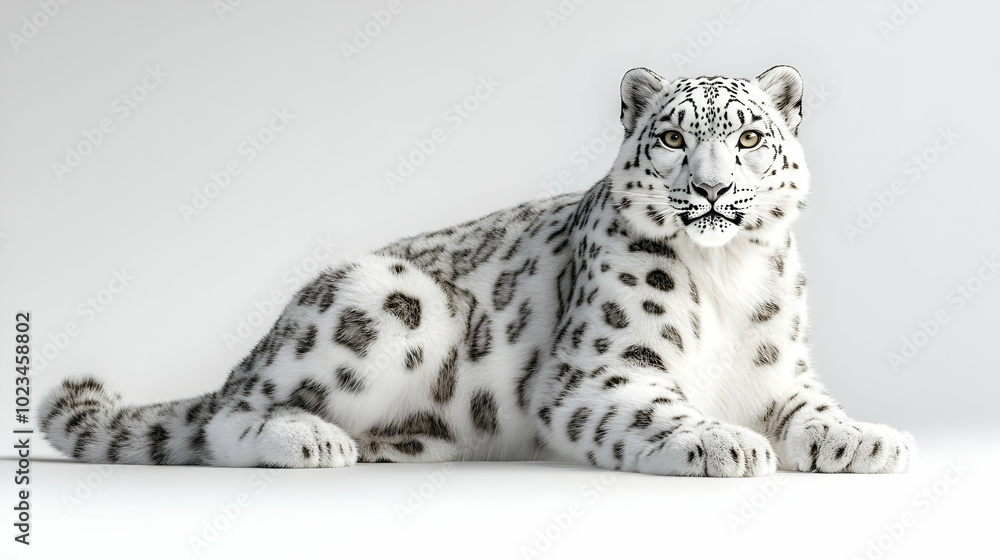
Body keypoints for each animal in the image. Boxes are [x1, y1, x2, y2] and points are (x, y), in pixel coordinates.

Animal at [40, 65, 915, 476]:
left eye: (750, 137)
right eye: (672, 138)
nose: (710, 189)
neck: (728, 272)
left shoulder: (782, 373)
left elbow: (816, 411)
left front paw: (871, 439)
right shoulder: (604, 372)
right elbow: (665, 409)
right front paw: (725, 443)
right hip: (383, 302)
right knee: (223, 414)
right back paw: (308, 439)